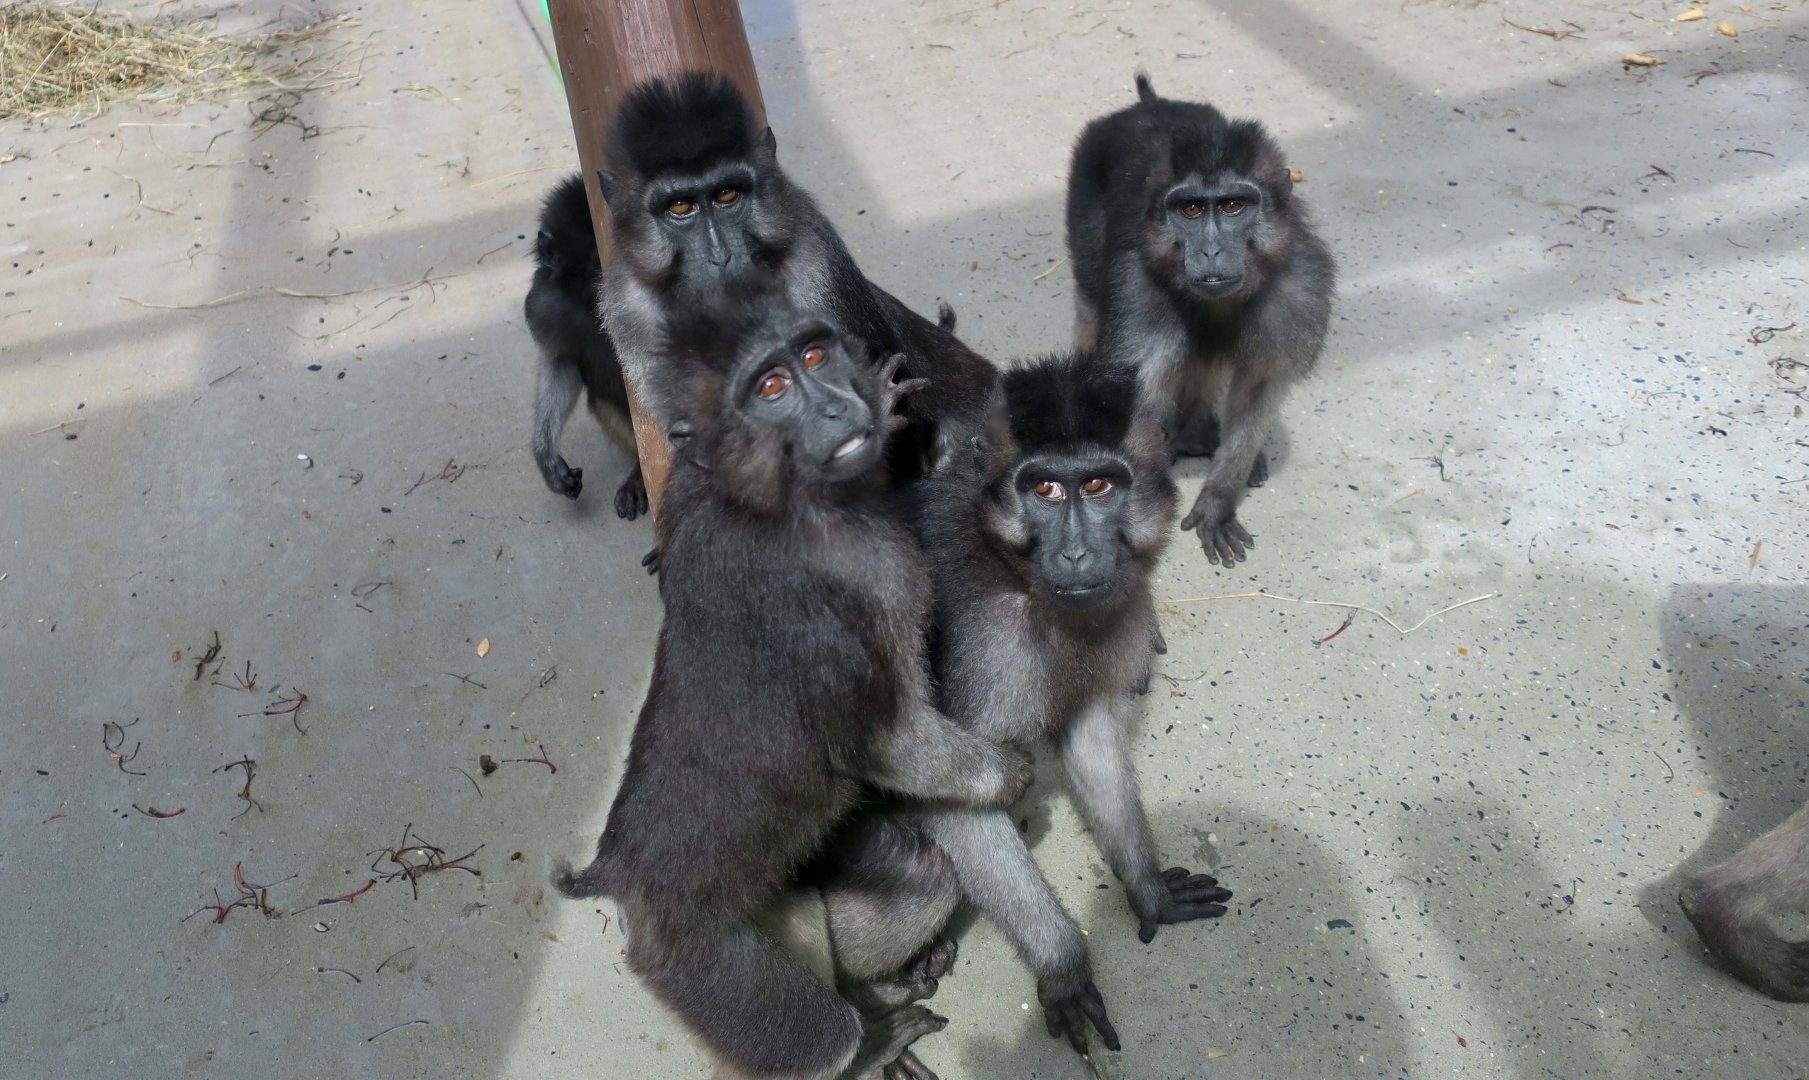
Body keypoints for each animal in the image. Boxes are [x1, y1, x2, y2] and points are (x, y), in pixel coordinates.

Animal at [552, 306, 1033, 1080]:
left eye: (814, 356)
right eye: (773, 386)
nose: (837, 406)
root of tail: (618, 878)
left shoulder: (690, 492)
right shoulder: (859, 599)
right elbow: (889, 743)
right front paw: (1007, 773)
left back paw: (876, 992)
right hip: (694, 958)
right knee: (827, 1026)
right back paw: (865, 1041)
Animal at [906, 352, 1233, 1056]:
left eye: (1100, 486)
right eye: (1047, 491)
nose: (1077, 552)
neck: (1015, 575)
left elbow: (1090, 739)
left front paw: (1147, 888)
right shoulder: (991, 645)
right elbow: (952, 803)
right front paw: (1063, 966)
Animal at [1066, 73, 1335, 566]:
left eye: (1232, 207)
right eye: (1191, 209)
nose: (1209, 251)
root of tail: (1150, 104)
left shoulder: (1298, 292)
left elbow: (1259, 389)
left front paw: (1218, 498)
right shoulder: (1137, 285)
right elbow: (1137, 394)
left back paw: (1197, 431)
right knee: (1091, 302)